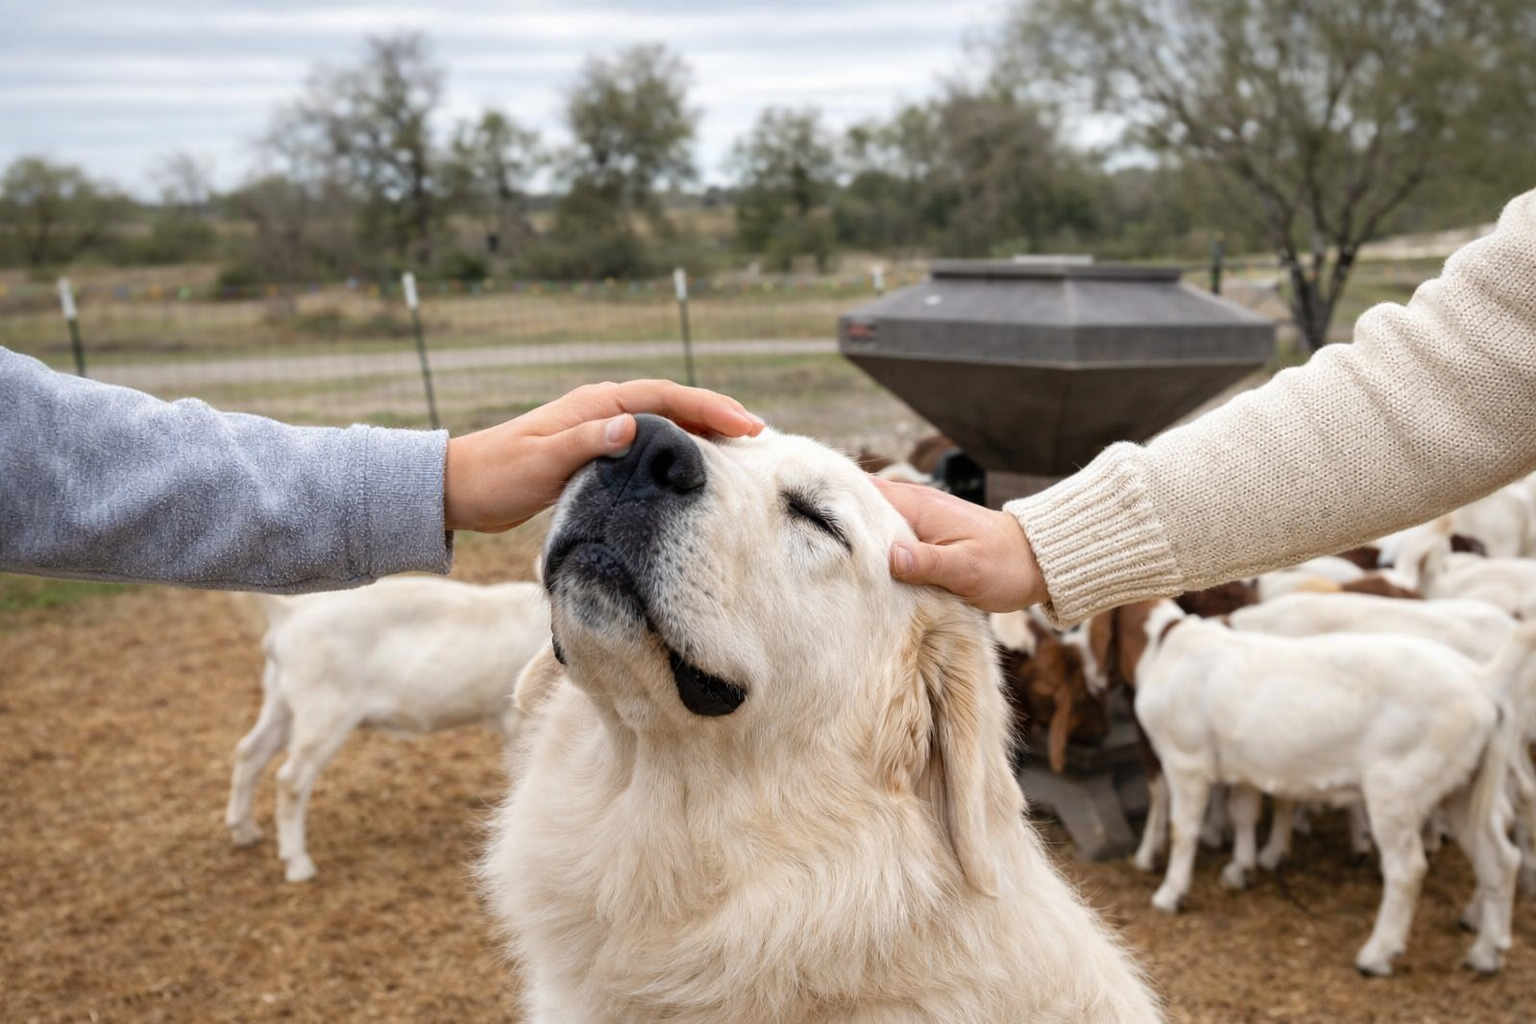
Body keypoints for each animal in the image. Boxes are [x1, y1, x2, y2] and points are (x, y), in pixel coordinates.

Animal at [225, 577, 549, 882]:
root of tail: (289, 611)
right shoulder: (523, 722)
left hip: (281, 701)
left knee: (250, 752)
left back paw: (243, 831)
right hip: (323, 712)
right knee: (290, 781)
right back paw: (297, 863)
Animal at [1131, 601, 1527, 975]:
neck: (1168, 645)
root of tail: (1482, 680)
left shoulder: (1186, 760)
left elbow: (1183, 829)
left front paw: (1170, 894)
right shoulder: (1242, 768)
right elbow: (1243, 811)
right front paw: (1239, 870)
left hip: (1396, 788)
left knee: (1408, 869)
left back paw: (1377, 954)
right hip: (1463, 789)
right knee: (1500, 859)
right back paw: (1486, 954)